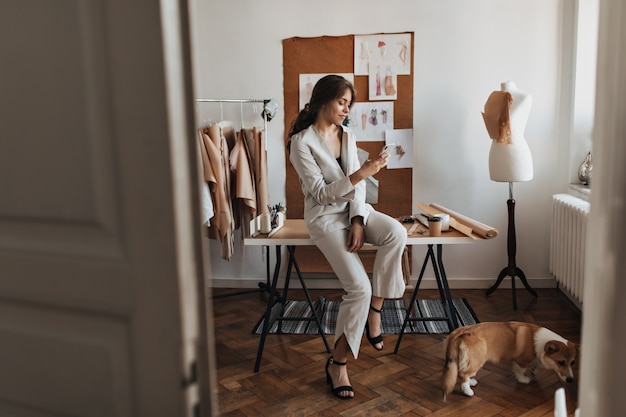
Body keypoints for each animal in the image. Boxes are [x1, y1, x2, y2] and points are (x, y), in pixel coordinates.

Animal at [438, 320, 576, 398]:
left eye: (572, 363)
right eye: (561, 362)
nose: (570, 380)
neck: (539, 343)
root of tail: (457, 334)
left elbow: (535, 366)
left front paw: (534, 371)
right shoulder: (521, 361)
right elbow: (520, 371)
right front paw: (524, 379)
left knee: (462, 373)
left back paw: (471, 382)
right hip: (477, 360)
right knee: (463, 374)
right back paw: (468, 391)